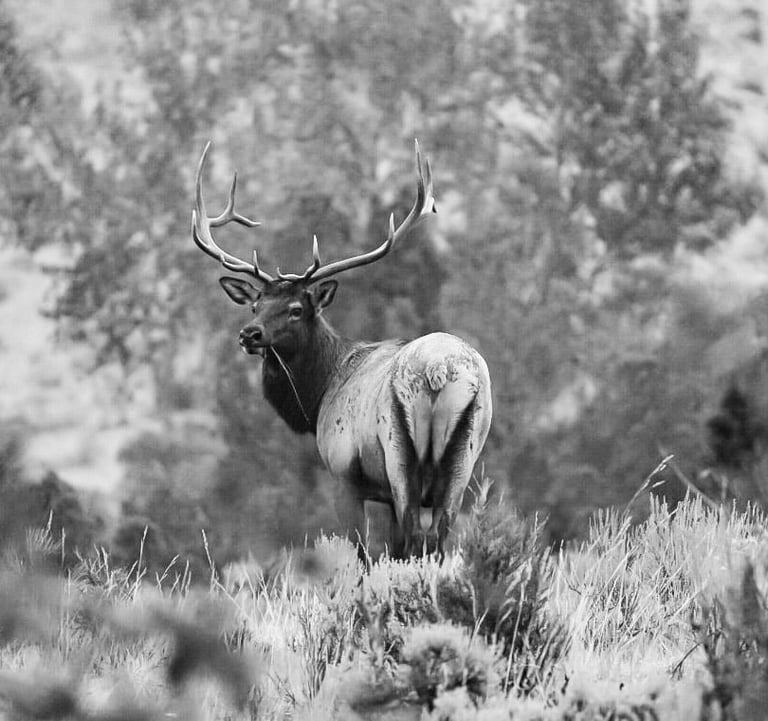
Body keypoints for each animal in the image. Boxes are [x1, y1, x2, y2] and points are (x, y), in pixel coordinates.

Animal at [191, 140, 492, 560]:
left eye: (296, 309)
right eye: (255, 305)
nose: (248, 334)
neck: (317, 396)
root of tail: (437, 372)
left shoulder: (343, 472)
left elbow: (361, 550)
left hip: (398, 451)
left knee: (415, 536)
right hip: (465, 454)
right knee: (438, 538)